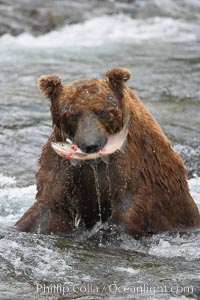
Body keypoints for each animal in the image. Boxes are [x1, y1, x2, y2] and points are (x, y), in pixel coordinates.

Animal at [15, 68, 200, 237]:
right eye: (72, 114)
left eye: (103, 112)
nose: (91, 145)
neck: (95, 162)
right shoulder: (63, 167)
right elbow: (48, 208)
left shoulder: (132, 165)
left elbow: (128, 205)